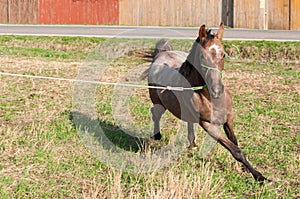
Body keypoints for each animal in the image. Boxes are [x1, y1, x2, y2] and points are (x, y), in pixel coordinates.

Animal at [145, 22, 268, 182]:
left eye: (223, 54)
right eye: (202, 56)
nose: (217, 90)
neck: (211, 99)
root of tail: (160, 55)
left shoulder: (228, 119)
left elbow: (235, 142)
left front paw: (246, 169)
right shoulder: (208, 124)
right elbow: (235, 150)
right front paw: (259, 176)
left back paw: (192, 144)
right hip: (158, 103)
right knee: (155, 113)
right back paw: (157, 135)